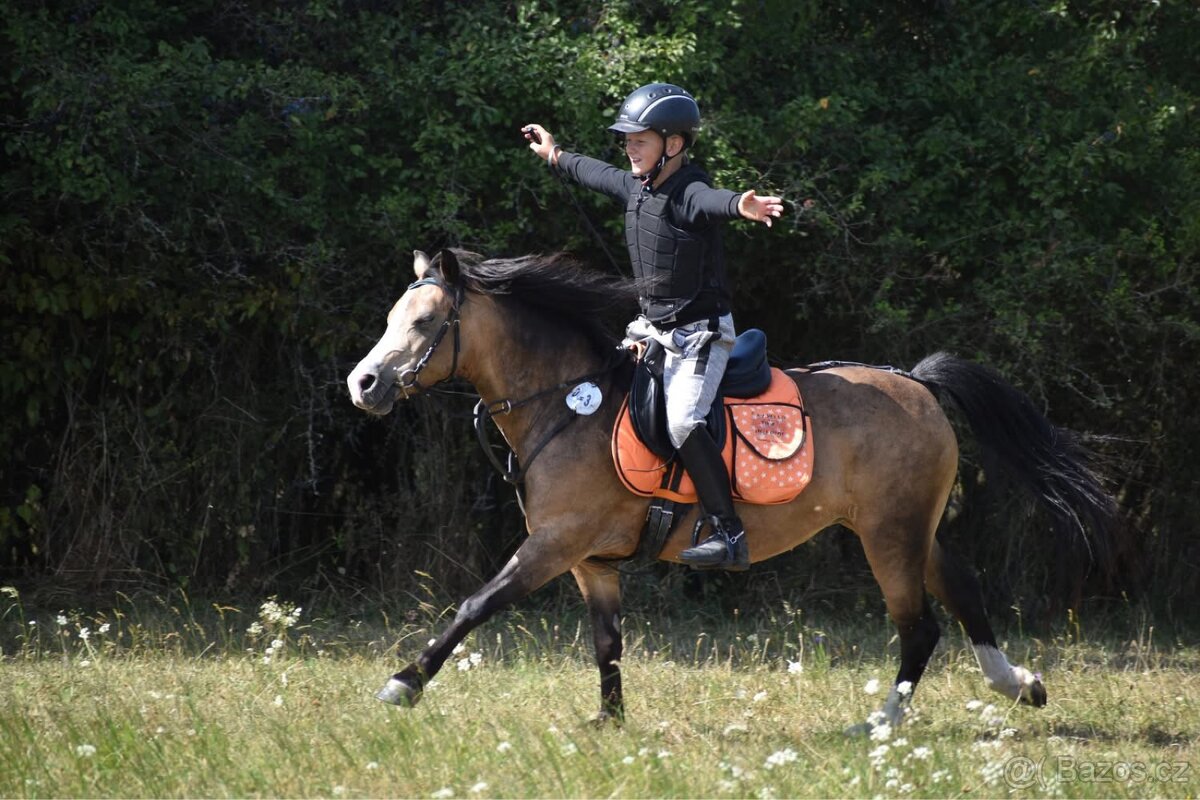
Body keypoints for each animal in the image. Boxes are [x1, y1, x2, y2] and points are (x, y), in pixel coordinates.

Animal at [346, 248, 1116, 731]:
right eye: (387, 320)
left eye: (422, 323)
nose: (364, 384)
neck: (567, 404)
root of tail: (918, 383)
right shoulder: (590, 561)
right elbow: (607, 643)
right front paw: (609, 721)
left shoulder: (555, 543)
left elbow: (476, 604)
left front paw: (403, 683)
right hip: (908, 528)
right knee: (964, 591)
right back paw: (1018, 684)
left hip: (888, 536)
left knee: (920, 626)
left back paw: (877, 724)